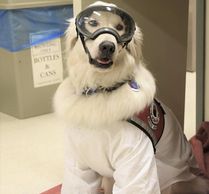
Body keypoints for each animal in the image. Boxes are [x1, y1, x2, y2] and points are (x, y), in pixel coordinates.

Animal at [54, 1, 209, 194]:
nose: (107, 46)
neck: (102, 89)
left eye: (120, 27)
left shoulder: (135, 161)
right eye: (92, 23)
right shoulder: (80, 163)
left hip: (175, 181)